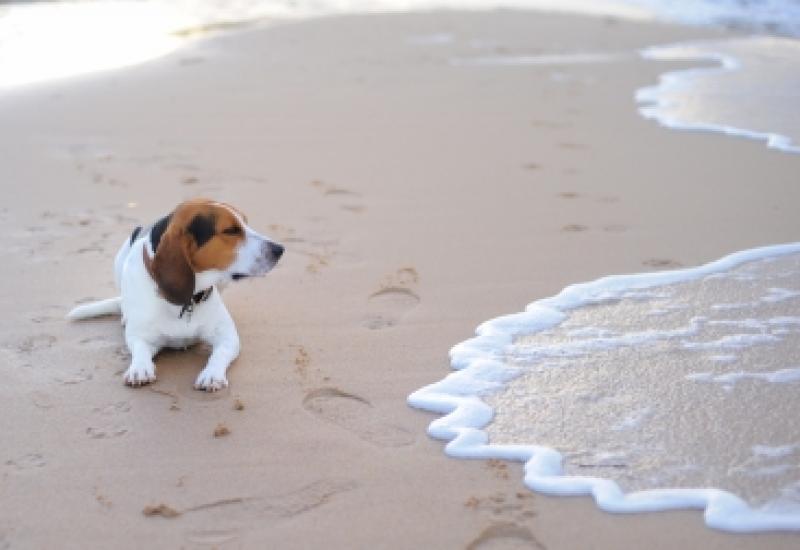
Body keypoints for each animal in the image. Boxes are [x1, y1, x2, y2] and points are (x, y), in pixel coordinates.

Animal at [67, 198, 284, 392]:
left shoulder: (228, 337)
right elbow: (139, 350)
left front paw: (211, 374)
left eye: (246, 223)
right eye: (230, 231)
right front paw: (139, 368)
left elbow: (219, 354)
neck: (187, 301)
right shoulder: (141, 337)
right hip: (120, 258)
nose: (280, 249)